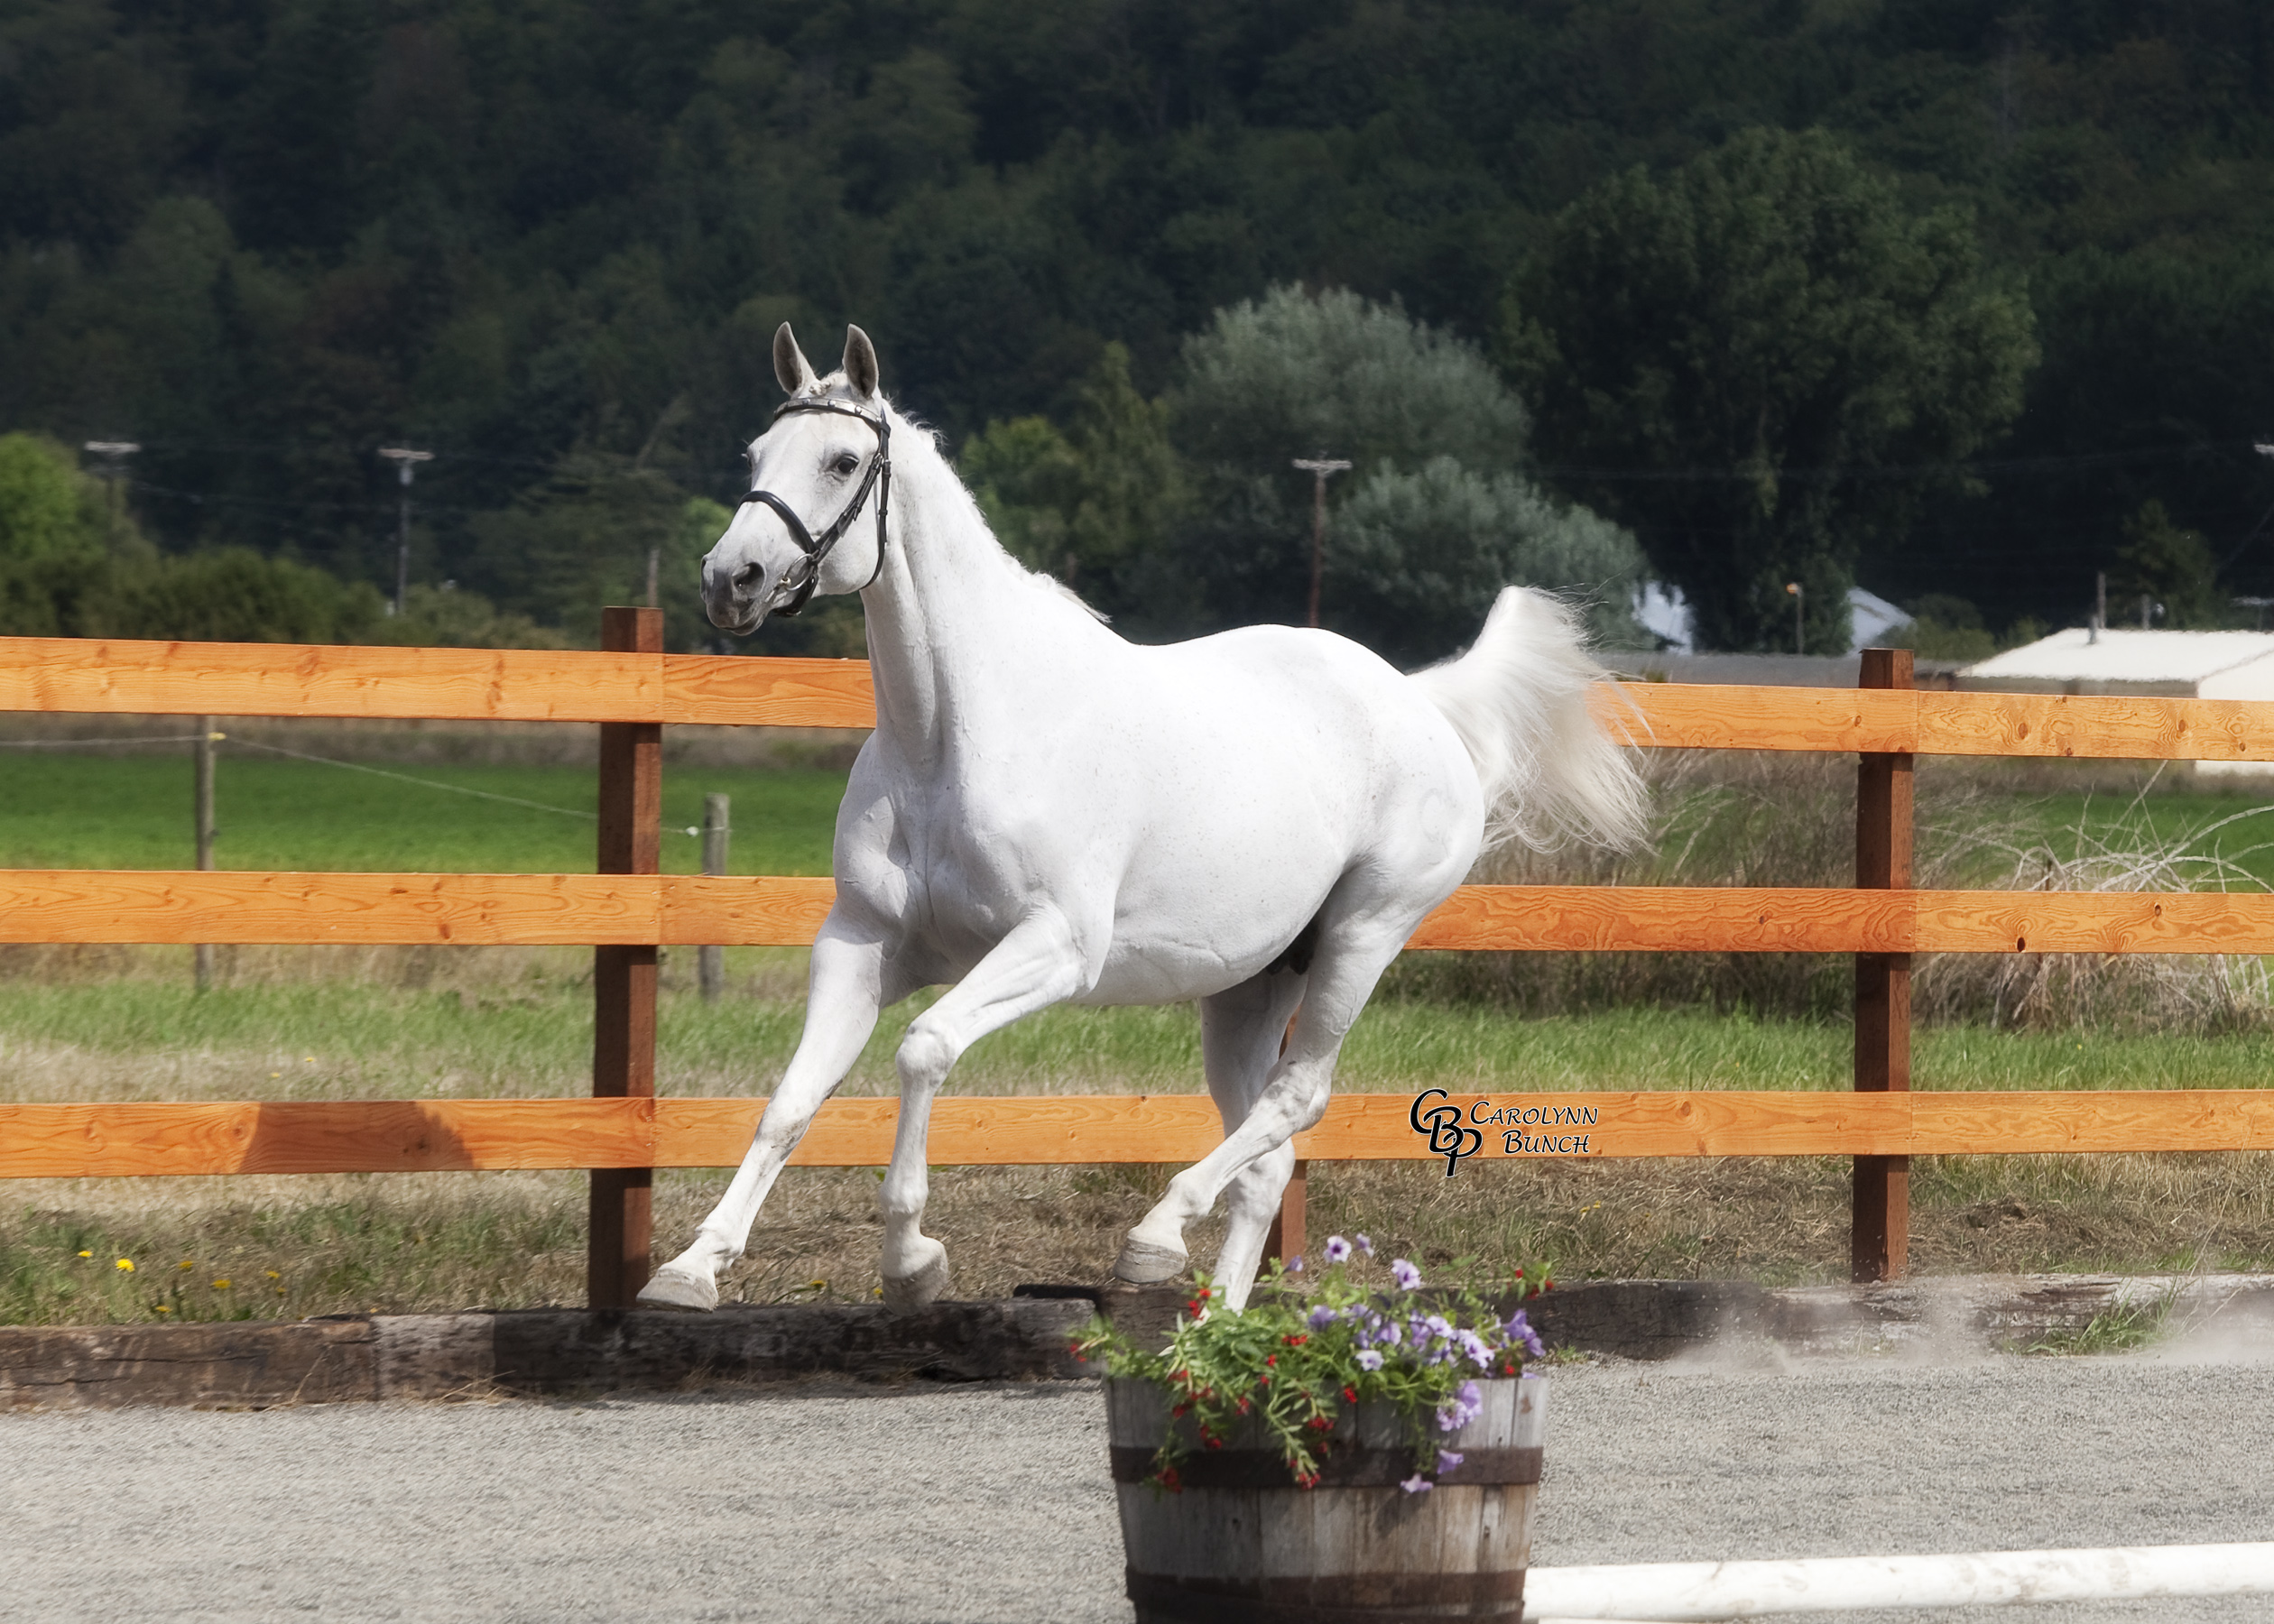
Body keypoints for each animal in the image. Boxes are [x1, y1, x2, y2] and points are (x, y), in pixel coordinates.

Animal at [632, 322, 1646, 1310]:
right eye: (758, 452)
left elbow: (924, 1049)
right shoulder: (861, 944)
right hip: (1250, 987)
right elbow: (791, 1102)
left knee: (1297, 1101)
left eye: (843, 460)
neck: (954, 737)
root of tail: (1421, 700)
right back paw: (1213, 1327)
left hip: (1365, 937)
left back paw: (1154, 1239)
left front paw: (912, 1259)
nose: (732, 578)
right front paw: (692, 1269)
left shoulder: (1055, 948)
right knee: (1267, 1162)